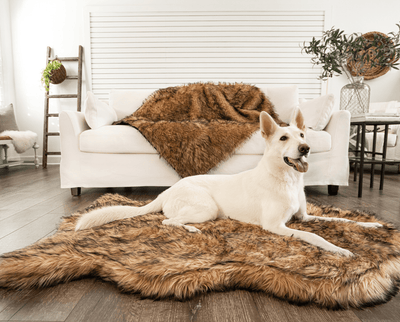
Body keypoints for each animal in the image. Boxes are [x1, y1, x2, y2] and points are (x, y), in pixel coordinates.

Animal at [76, 110, 382, 256]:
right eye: (284, 138)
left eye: (303, 134)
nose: (306, 148)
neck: (288, 179)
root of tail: (168, 191)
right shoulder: (277, 227)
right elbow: (316, 237)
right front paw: (339, 249)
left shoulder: (304, 218)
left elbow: (343, 220)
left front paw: (371, 225)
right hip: (206, 209)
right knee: (167, 221)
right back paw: (192, 230)